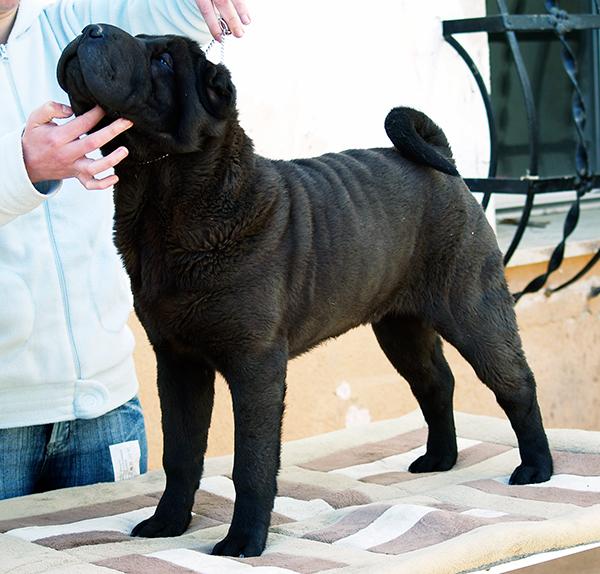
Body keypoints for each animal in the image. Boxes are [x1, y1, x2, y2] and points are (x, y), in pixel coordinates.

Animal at [57, 24, 552, 560]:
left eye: (164, 61)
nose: (89, 29)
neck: (160, 197)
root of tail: (445, 167)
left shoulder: (254, 363)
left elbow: (251, 464)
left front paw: (243, 541)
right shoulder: (178, 362)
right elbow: (182, 454)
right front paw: (167, 524)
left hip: (471, 308)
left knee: (515, 385)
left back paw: (536, 468)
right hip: (399, 327)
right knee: (436, 383)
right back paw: (439, 459)